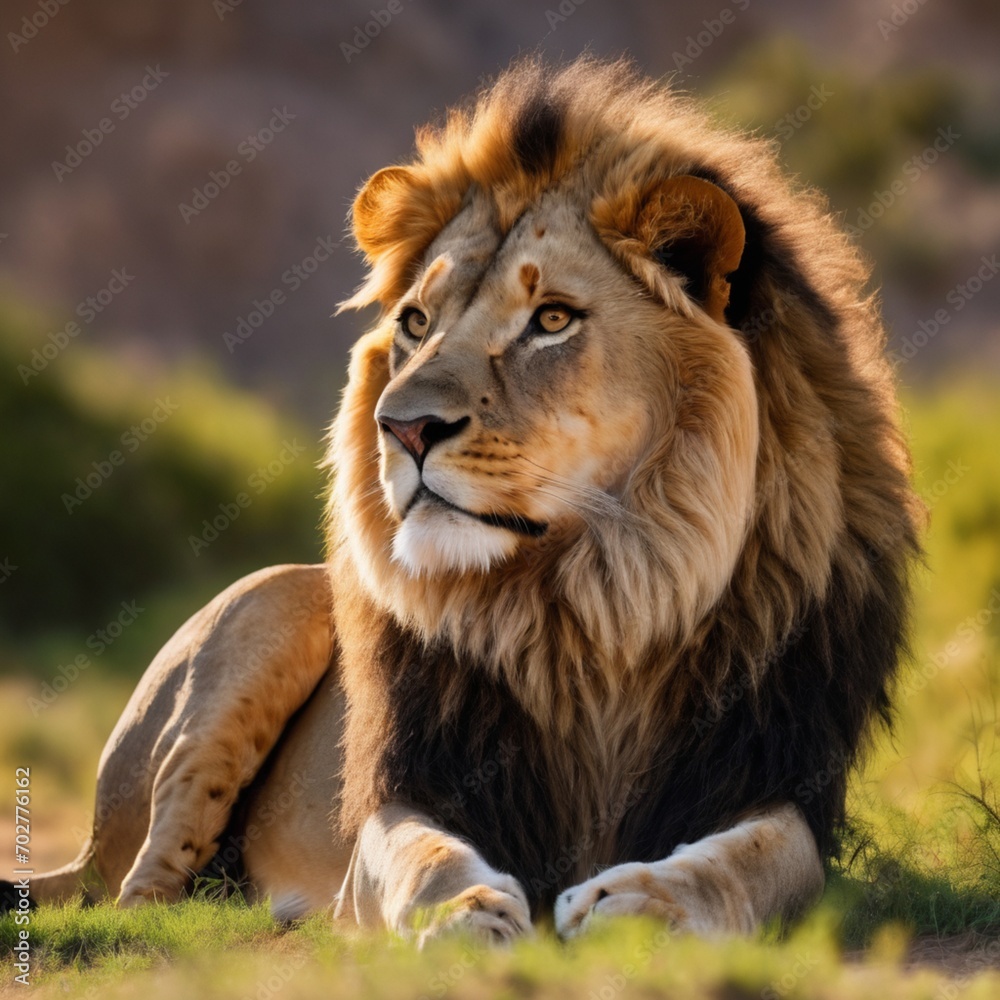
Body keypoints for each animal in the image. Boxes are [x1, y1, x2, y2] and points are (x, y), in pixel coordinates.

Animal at [12, 57, 923, 943]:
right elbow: (426, 855)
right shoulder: (411, 784)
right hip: (264, 612)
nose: (401, 426)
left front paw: (642, 903)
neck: (595, 605)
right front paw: (464, 912)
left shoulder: (776, 776)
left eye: (551, 319)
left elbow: (756, 861)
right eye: (416, 323)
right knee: (141, 896)